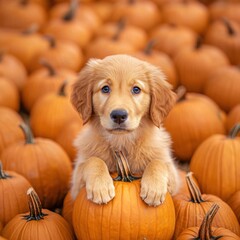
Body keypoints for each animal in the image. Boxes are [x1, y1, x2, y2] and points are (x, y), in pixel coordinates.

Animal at [71, 54, 180, 206]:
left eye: (136, 89)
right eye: (105, 89)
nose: (118, 115)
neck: (122, 141)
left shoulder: (173, 175)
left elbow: (158, 162)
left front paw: (154, 188)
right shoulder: (76, 185)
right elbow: (93, 160)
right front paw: (100, 186)